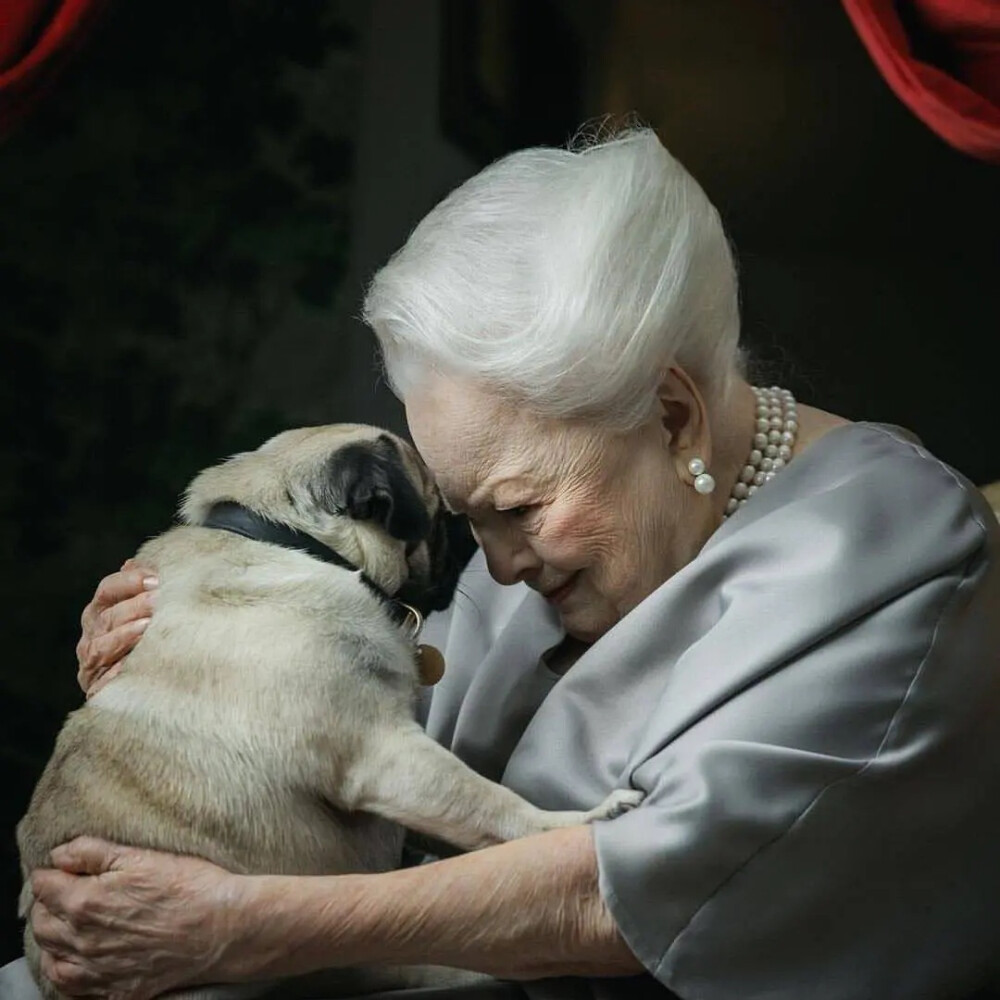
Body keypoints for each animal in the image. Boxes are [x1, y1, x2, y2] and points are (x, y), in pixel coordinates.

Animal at [15, 424, 640, 1000]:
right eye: (440, 516)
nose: (469, 536)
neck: (287, 540)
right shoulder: (387, 753)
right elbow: (495, 805)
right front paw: (579, 820)